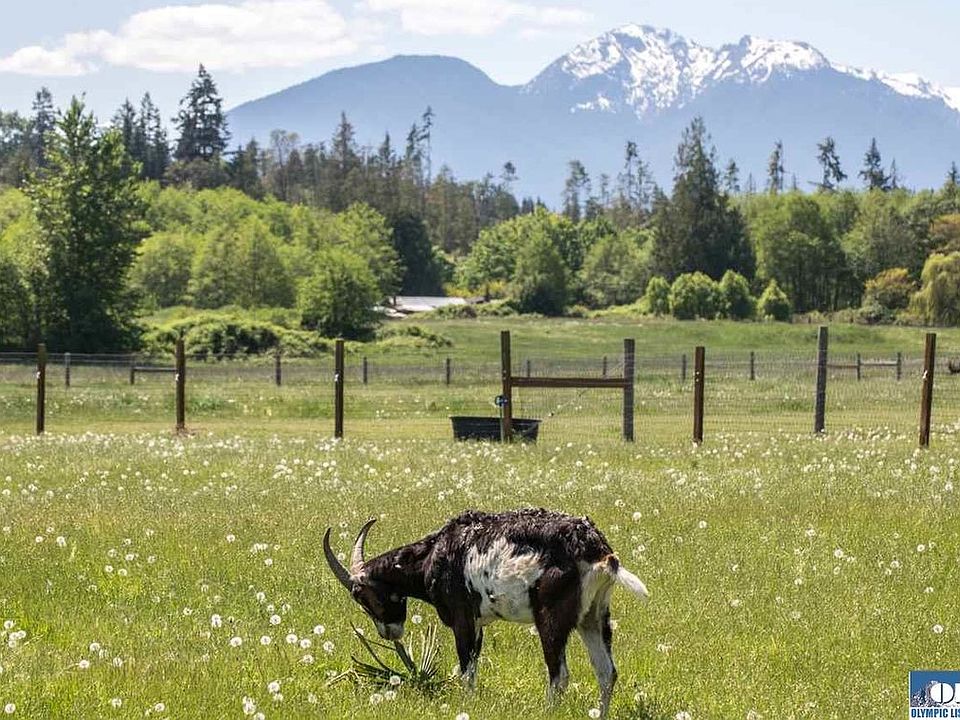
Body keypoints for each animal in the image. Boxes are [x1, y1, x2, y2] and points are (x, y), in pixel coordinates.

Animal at [324, 510, 652, 716]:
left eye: (361, 596)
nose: (388, 632)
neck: (435, 553)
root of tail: (597, 549)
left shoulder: (462, 618)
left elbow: (466, 669)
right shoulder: (479, 622)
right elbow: (474, 662)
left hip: (551, 619)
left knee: (559, 676)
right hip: (594, 617)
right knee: (606, 672)